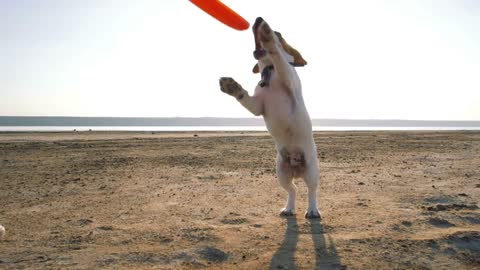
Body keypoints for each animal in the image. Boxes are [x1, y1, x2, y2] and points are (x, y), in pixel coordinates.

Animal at [219, 17, 320, 219]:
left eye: (279, 33)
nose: (258, 19)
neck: (270, 71)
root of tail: (296, 168)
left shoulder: (287, 76)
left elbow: (280, 58)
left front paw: (267, 37)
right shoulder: (257, 106)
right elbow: (244, 96)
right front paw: (232, 86)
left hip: (312, 170)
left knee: (311, 190)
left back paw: (313, 210)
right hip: (281, 173)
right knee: (293, 189)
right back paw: (289, 208)